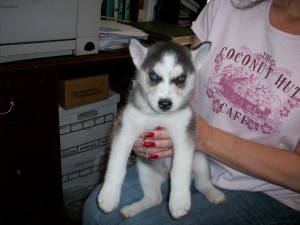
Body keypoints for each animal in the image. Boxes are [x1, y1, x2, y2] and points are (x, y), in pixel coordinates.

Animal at [97, 37, 226, 219]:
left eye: (181, 78)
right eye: (153, 75)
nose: (165, 103)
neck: (159, 116)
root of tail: (165, 177)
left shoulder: (184, 134)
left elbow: (180, 169)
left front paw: (179, 202)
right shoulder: (125, 130)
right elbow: (116, 164)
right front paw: (109, 196)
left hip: (199, 160)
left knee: (202, 183)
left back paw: (214, 194)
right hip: (145, 169)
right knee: (154, 197)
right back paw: (131, 210)